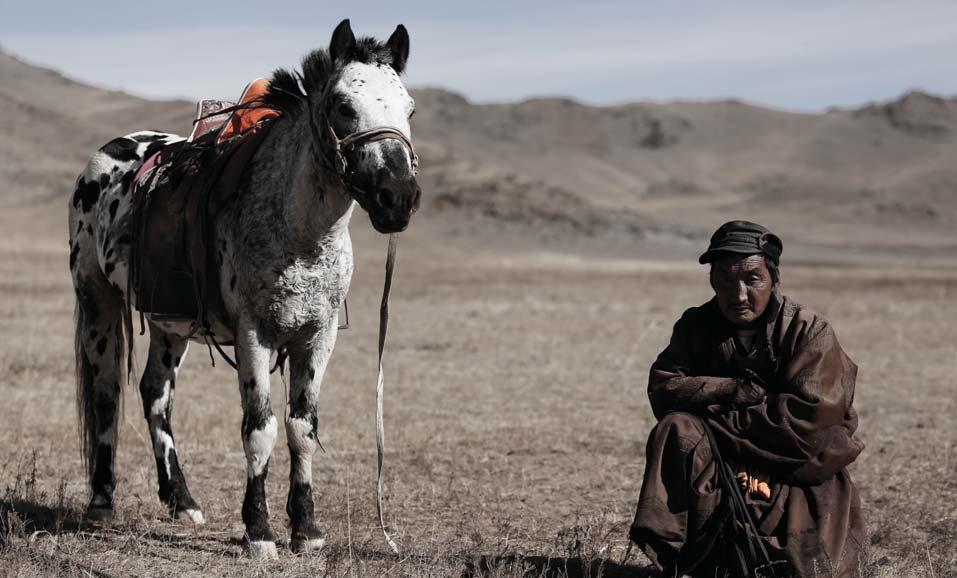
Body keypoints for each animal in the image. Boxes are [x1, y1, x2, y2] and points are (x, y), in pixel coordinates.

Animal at [69, 20, 420, 556]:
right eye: (343, 105)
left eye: (410, 109)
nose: (398, 197)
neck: (301, 232)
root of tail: (108, 154)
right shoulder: (255, 334)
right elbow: (260, 429)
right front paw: (258, 532)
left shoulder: (318, 338)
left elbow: (302, 428)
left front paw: (307, 531)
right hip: (97, 303)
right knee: (107, 389)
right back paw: (101, 505)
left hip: (171, 322)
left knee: (155, 394)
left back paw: (182, 501)